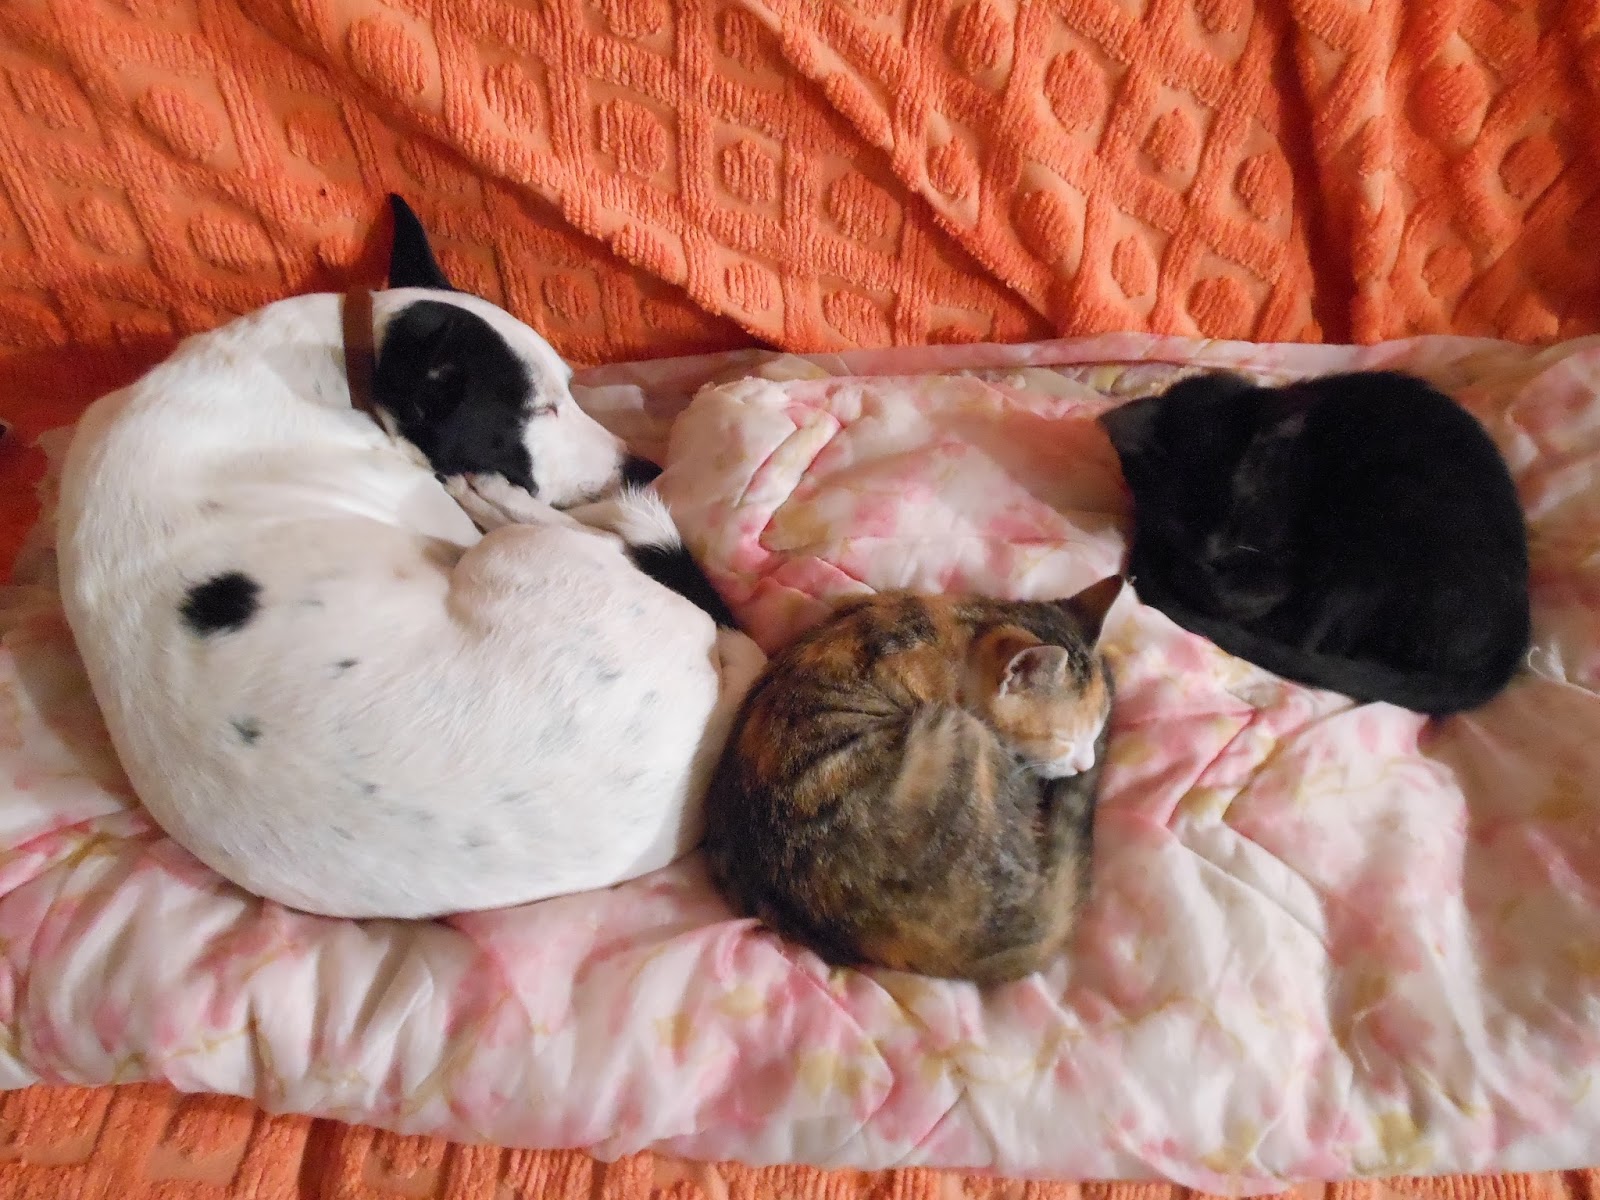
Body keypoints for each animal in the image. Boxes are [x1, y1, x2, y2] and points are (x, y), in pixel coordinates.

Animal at [54, 197, 766, 919]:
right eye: (538, 408)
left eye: (569, 388)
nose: (645, 471)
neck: (342, 368)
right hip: (519, 556)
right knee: (597, 540)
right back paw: (507, 501)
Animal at [1099, 369, 1531, 715]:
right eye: (1178, 519)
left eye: (1241, 510)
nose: (1211, 553)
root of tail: (1507, 647)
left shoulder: (1284, 562)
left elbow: (1241, 595)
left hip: (1375, 530)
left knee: (1306, 637)